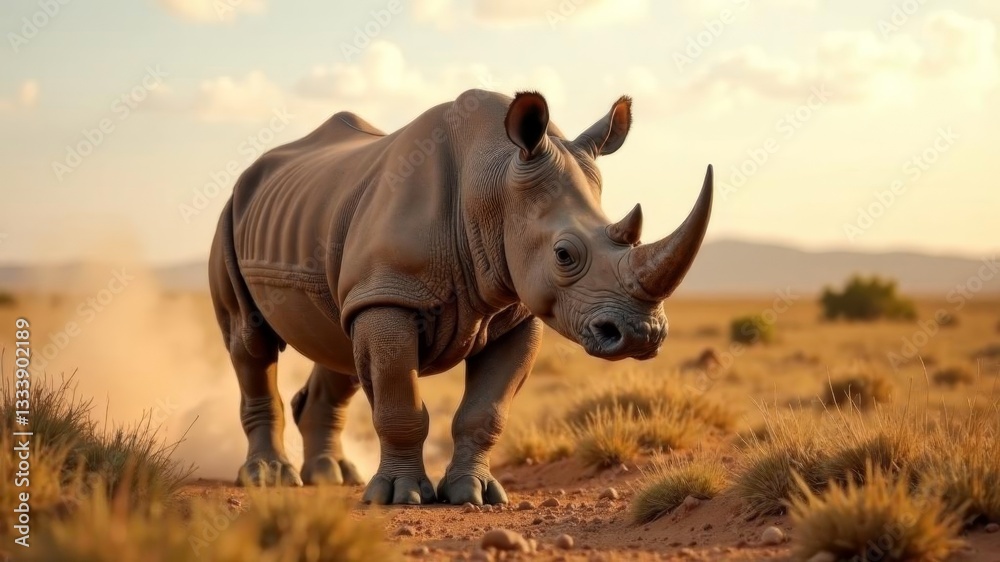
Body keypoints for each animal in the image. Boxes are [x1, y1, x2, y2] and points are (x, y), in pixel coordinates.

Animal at [209, 89, 713, 505]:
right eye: (564, 255)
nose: (643, 334)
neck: (491, 184)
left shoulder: (515, 310)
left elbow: (485, 412)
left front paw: (476, 494)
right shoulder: (390, 297)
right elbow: (399, 403)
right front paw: (401, 496)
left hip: (328, 230)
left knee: (338, 343)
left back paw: (333, 477)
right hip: (231, 214)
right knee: (250, 341)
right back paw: (270, 478)